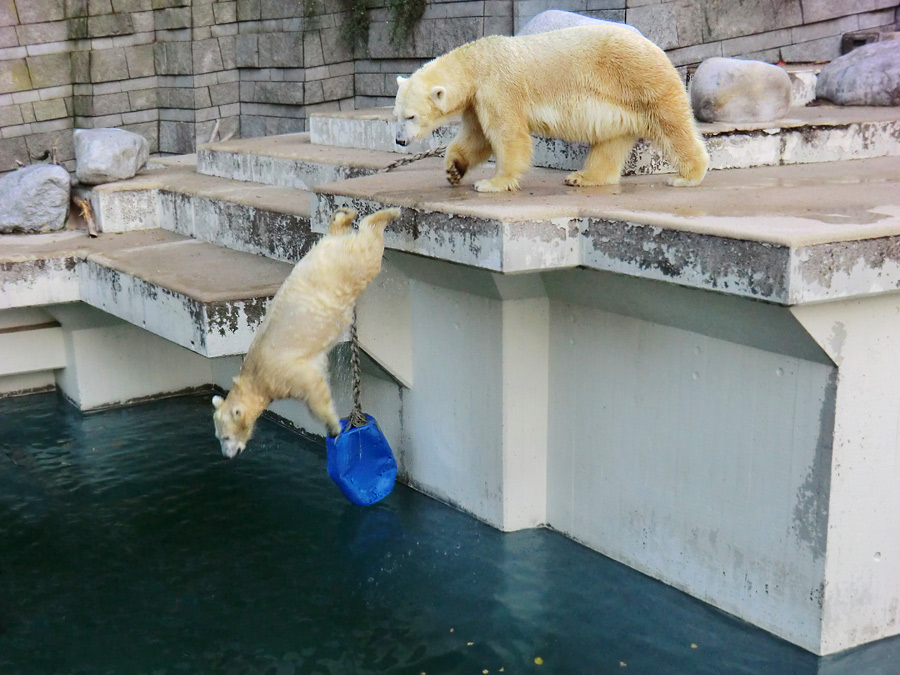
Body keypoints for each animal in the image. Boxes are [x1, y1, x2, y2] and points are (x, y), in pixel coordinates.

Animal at [213, 206, 400, 460]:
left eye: (226, 437)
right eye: (219, 437)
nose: (226, 455)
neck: (254, 378)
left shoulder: (283, 374)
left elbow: (313, 390)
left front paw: (333, 427)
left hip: (348, 267)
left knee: (369, 251)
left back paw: (387, 215)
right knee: (340, 232)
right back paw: (344, 215)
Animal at [394, 23, 712, 191]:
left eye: (411, 116)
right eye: (397, 116)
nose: (399, 140)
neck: (476, 61)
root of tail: (654, 46)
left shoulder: (499, 87)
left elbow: (508, 135)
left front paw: (492, 183)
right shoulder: (477, 100)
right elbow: (477, 138)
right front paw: (454, 170)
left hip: (640, 81)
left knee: (672, 125)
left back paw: (687, 176)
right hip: (622, 105)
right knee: (611, 141)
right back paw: (583, 177)